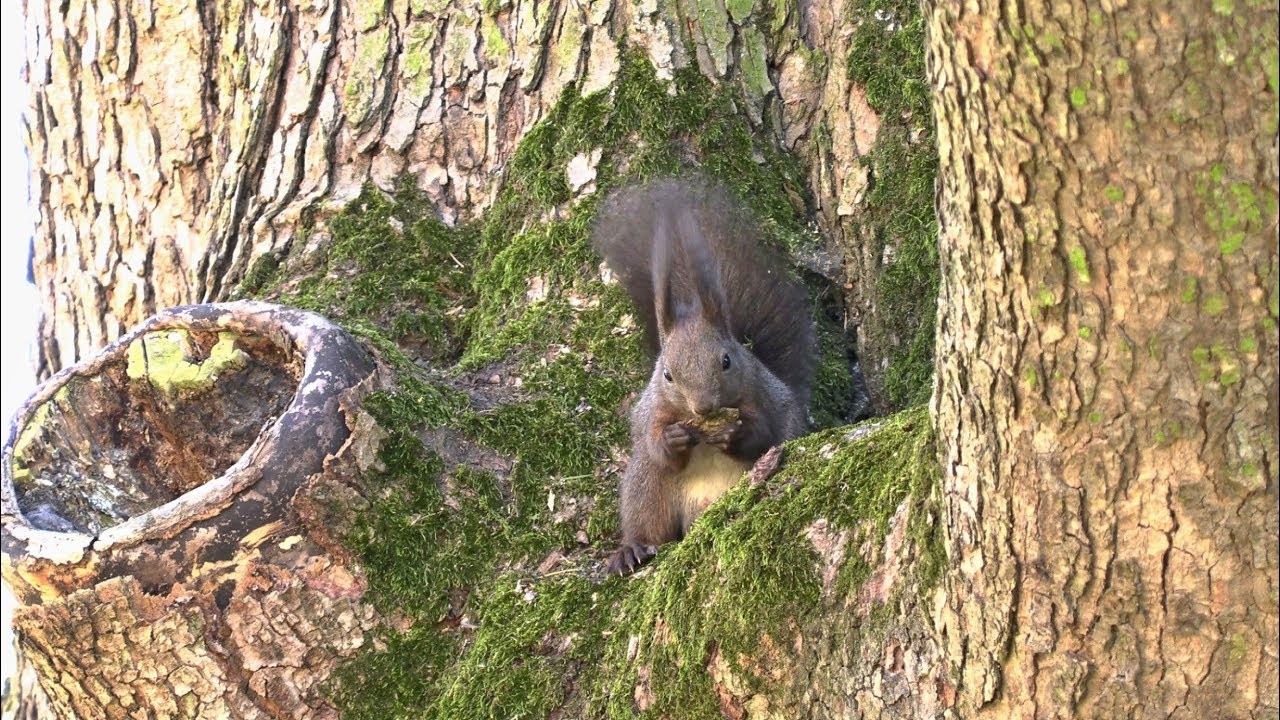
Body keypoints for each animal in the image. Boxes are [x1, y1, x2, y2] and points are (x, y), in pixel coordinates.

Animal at [591, 175, 814, 571]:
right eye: (666, 374)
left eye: (727, 361)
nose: (704, 408)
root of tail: (701, 511)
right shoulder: (652, 411)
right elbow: (655, 441)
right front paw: (673, 438)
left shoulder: (760, 395)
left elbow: (762, 433)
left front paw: (734, 433)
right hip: (648, 486)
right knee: (649, 517)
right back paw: (632, 549)